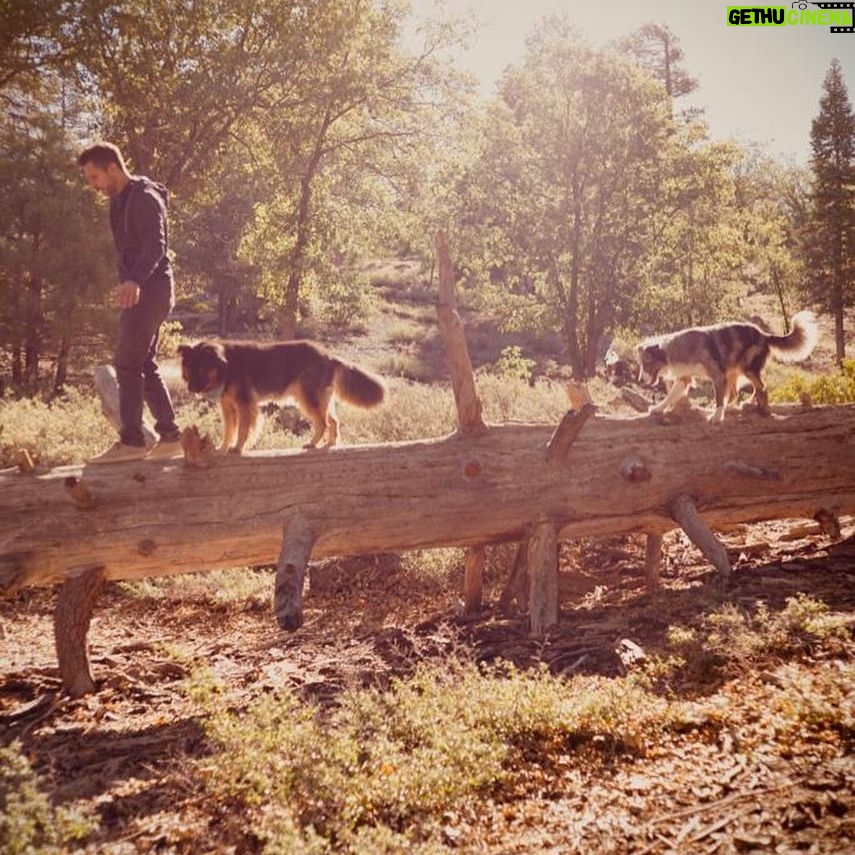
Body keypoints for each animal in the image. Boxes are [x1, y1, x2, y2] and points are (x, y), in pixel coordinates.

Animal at [182, 340, 386, 454]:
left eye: (200, 370)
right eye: (189, 370)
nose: (190, 388)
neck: (225, 365)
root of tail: (328, 356)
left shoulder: (244, 405)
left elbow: (242, 430)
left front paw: (238, 448)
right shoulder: (228, 407)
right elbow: (229, 431)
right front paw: (223, 448)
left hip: (308, 398)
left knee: (323, 423)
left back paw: (313, 444)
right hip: (319, 399)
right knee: (333, 422)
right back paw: (330, 444)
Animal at [640, 312, 820, 422]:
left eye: (647, 362)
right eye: (642, 363)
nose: (640, 381)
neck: (673, 350)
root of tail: (765, 334)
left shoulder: (717, 375)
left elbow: (719, 398)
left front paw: (717, 416)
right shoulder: (685, 377)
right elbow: (670, 395)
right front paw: (658, 408)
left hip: (747, 367)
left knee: (761, 387)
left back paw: (761, 409)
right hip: (734, 370)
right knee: (735, 394)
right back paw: (736, 407)